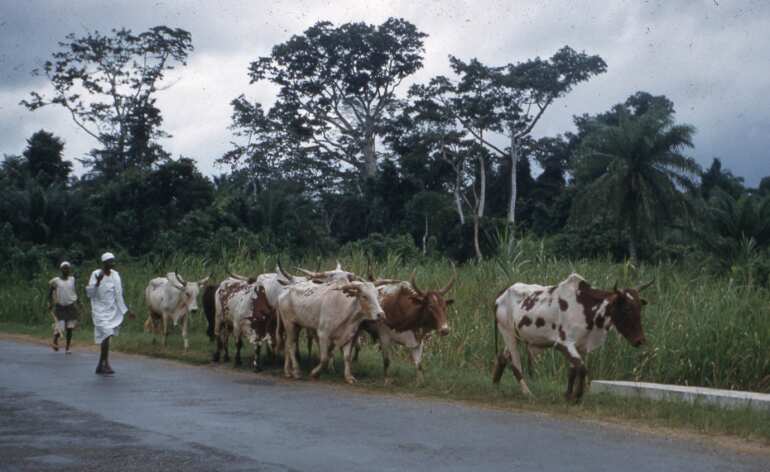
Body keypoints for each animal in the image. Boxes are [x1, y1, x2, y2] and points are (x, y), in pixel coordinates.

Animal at [492, 272, 648, 402]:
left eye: (639, 308)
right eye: (627, 309)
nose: (640, 340)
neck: (586, 307)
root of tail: (503, 292)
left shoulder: (580, 346)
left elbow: (573, 371)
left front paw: (568, 395)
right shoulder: (564, 343)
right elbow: (583, 368)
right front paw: (577, 396)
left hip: (516, 336)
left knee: (502, 356)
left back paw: (495, 385)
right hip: (507, 333)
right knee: (516, 365)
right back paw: (527, 393)